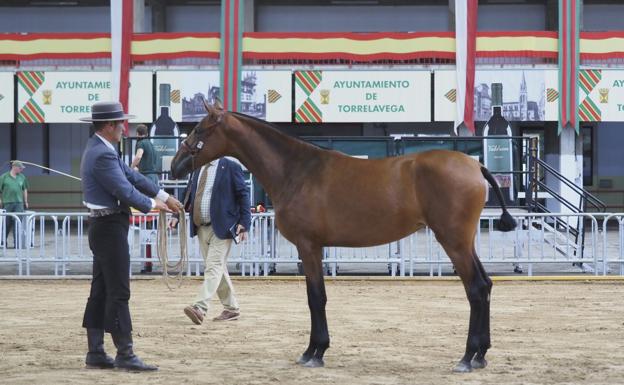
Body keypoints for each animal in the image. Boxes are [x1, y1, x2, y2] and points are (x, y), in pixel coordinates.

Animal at [171, 101, 516, 372]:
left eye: (199, 130)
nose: (175, 166)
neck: (297, 171)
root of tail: (475, 166)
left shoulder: (308, 246)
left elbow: (315, 298)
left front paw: (314, 352)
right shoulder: (315, 247)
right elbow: (317, 297)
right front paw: (316, 350)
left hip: (454, 242)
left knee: (475, 289)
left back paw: (468, 357)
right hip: (464, 243)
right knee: (485, 286)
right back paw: (480, 355)